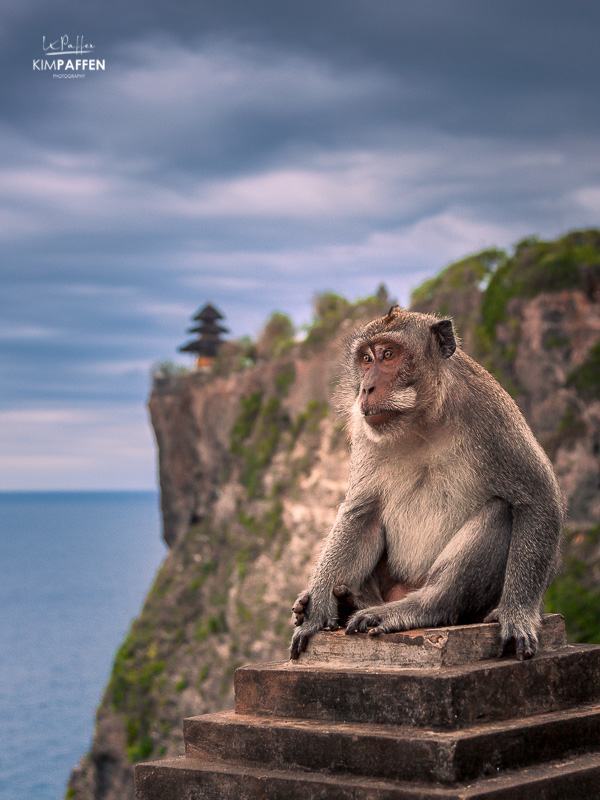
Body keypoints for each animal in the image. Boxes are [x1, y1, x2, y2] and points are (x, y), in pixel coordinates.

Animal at [288, 306, 564, 664]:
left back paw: (421, 608)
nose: (366, 388)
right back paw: (352, 601)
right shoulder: (365, 430)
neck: (423, 418)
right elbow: (362, 512)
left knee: (501, 513)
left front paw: (517, 615)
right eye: (366, 358)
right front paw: (317, 611)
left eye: (388, 355)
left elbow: (537, 498)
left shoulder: (491, 412)